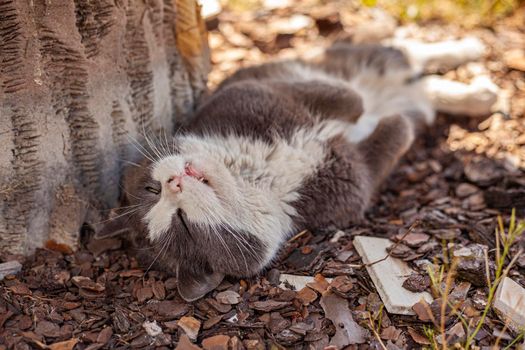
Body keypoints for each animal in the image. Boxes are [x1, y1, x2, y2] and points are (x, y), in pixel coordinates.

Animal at [96, 42, 436, 300]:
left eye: (151, 189)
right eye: (183, 224)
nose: (173, 182)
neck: (252, 174)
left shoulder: (249, 95)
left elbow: (343, 96)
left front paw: (357, 106)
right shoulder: (345, 187)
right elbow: (389, 139)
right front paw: (396, 122)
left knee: (401, 54)